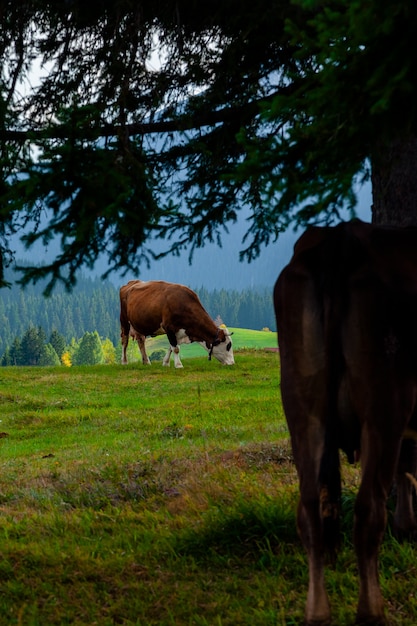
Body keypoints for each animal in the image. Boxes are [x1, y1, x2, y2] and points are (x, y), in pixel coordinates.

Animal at [274, 221, 416, 624]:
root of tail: (342, 236)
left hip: (301, 405)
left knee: (310, 507)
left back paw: (317, 611)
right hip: (385, 402)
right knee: (368, 511)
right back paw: (371, 610)